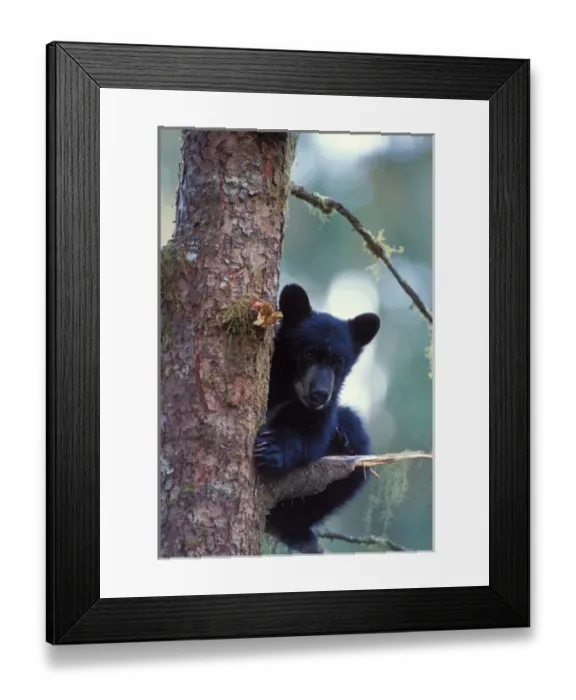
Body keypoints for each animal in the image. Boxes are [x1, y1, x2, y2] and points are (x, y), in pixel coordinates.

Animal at [254, 283, 381, 554]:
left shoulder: (323, 410)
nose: (320, 393)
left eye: (338, 361)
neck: (288, 390)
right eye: (309, 353)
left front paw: (273, 447)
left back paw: (297, 531)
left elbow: (313, 437)